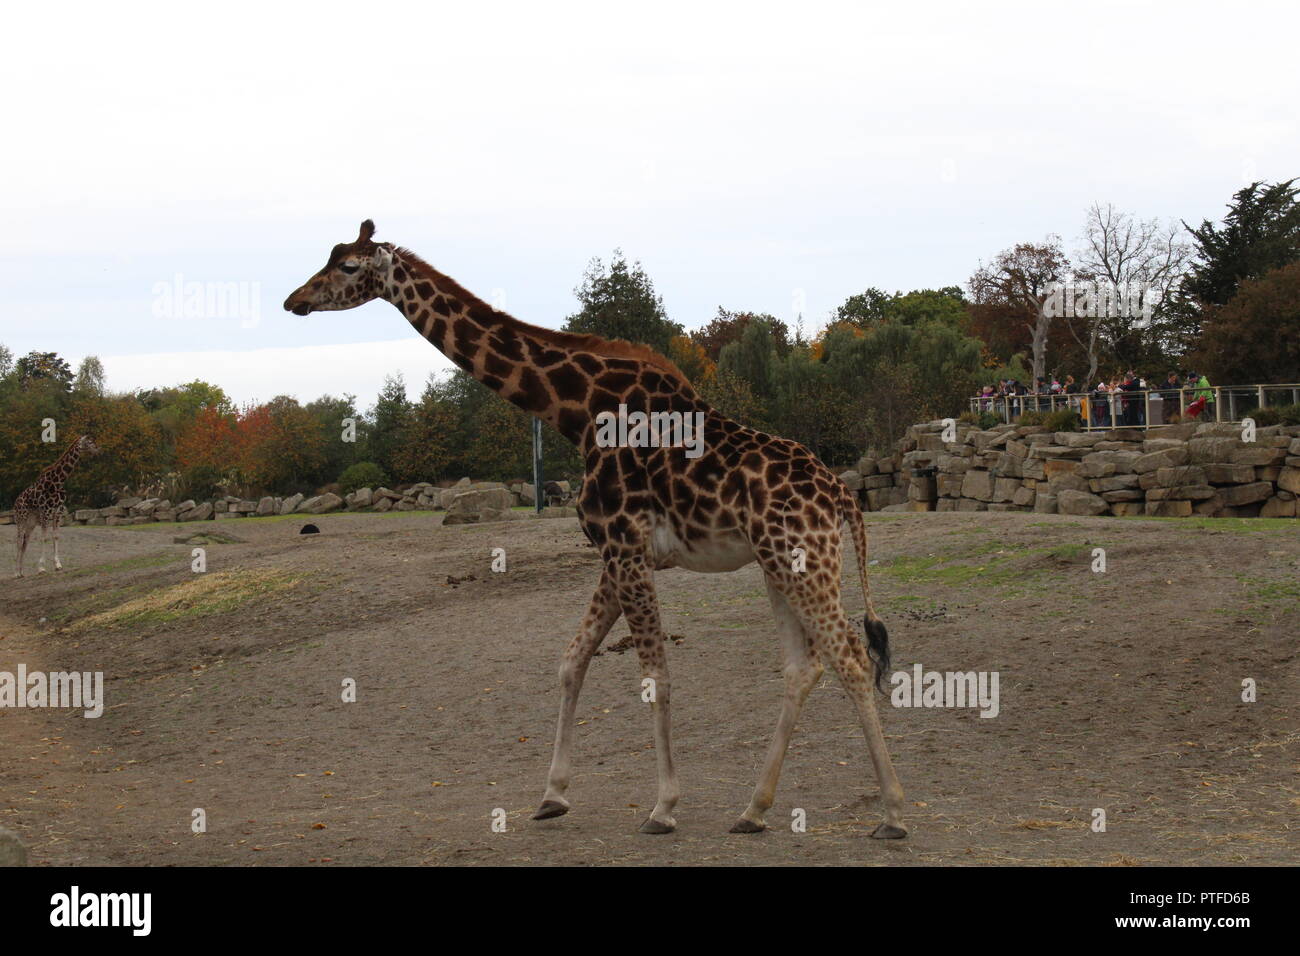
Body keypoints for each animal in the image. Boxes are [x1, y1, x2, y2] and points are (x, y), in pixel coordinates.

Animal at [11, 434, 98, 582]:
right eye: (89, 442)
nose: (98, 449)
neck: (57, 482)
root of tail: (16, 502)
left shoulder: (58, 512)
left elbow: (56, 536)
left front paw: (58, 565)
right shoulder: (45, 512)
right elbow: (44, 538)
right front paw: (41, 568)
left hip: (31, 523)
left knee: (25, 542)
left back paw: (22, 572)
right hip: (21, 519)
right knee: (18, 541)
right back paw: (16, 573)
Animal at [282, 223, 915, 837]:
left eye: (347, 265)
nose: (294, 301)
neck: (575, 413)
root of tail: (841, 495)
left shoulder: (625, 546)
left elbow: (655, 674)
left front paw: (663, 807)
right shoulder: (614, 554)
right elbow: (572, 659)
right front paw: (552, 796)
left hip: (801, 558)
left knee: (850, 658)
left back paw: (892, 814)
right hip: (778, 564)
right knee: (804, 666)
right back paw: (753, 811)